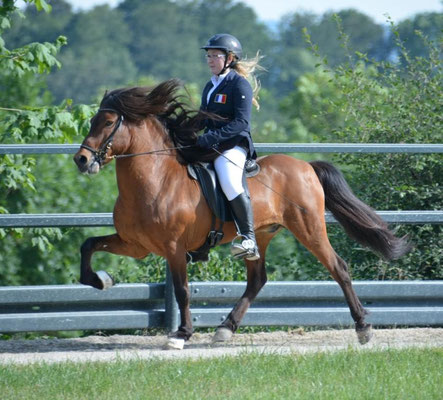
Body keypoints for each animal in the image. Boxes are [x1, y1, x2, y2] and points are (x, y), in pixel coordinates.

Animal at [73, 78, 412, 350]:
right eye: (92, 120)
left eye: (107, 123)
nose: (81, 160)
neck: (156, 180)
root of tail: (306, 166)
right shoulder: (136, 245)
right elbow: (88, 245)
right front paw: (101, 280)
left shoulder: (173, 248)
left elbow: (182, 291)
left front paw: (181, 335)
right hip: (261, 234)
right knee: (257, 280)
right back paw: (225, 329)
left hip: (310, 228)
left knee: (339, 268)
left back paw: (363, 328)